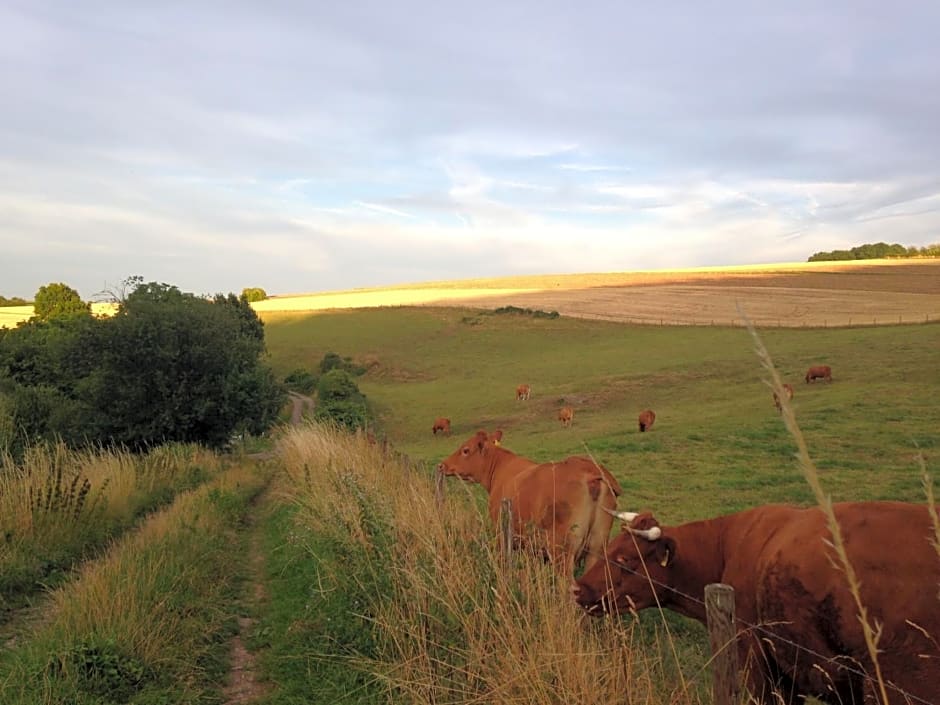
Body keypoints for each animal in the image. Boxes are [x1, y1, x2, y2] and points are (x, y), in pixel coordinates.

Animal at [438, 428, 624, 576]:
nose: (442, 465)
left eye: (465, 450)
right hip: (597, 548)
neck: (500, 469)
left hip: (562, 552)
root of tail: (589, 471)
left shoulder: (501, 532)